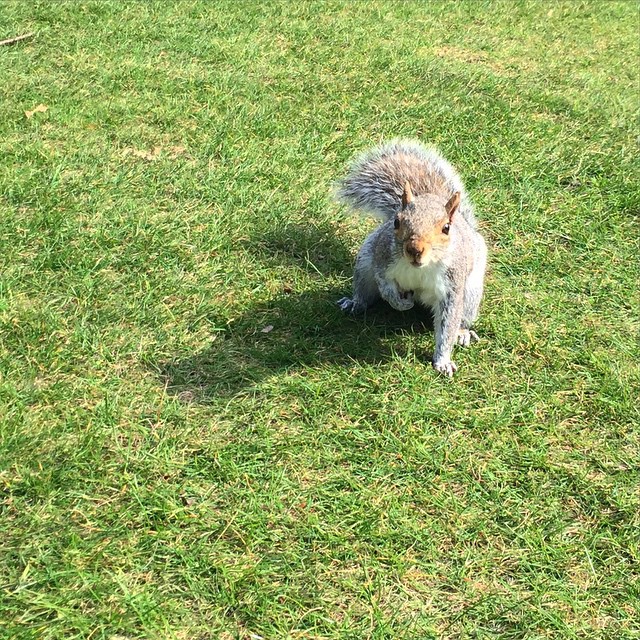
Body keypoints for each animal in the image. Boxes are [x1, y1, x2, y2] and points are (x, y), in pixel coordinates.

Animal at [336, 140, 484, 378]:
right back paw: (355, 303)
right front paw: (402, 303)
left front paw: (443, 361)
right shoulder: (382, 259)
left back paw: (463, 332)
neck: (420, 268)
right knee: (365, 291)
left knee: (463, 316)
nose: (415, 249)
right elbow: (385, 287)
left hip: (471, 293)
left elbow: (448, 325)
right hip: (364, 262)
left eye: (446, 228)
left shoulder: (452, 286)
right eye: (396, 222)